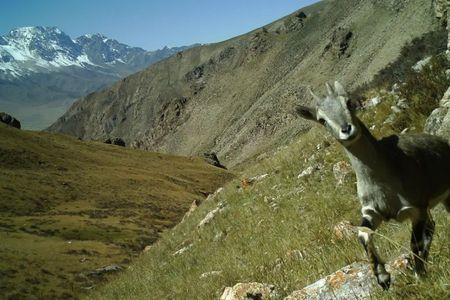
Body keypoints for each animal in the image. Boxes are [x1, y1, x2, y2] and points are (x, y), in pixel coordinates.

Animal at [298, 82, 448, 290]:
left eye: (348, 102)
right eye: (321, 119)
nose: (346, 129)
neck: (385, 184)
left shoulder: (416, 208)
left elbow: (415, 244)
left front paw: (420, 276)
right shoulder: (372, 211)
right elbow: (363, 234)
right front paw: (382, 277)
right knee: (431, 226)